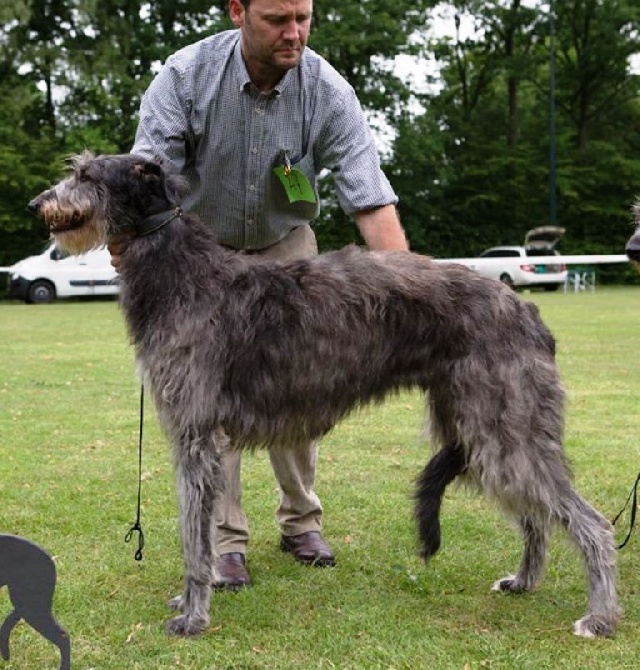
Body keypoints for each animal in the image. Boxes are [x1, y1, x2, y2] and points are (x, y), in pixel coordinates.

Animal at [28, 152, 620, 640]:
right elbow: (198, 531)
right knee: (536, 515)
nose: (38, 203)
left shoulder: (195, 437)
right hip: (486, 427)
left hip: (505, 426)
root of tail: (526, 311)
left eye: (87, 175)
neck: (183, 272)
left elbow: (194, 538)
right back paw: (525, 580)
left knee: (590, 522)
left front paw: (193, 616)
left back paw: (599, 616)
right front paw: (190, 600)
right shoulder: (195, 438)